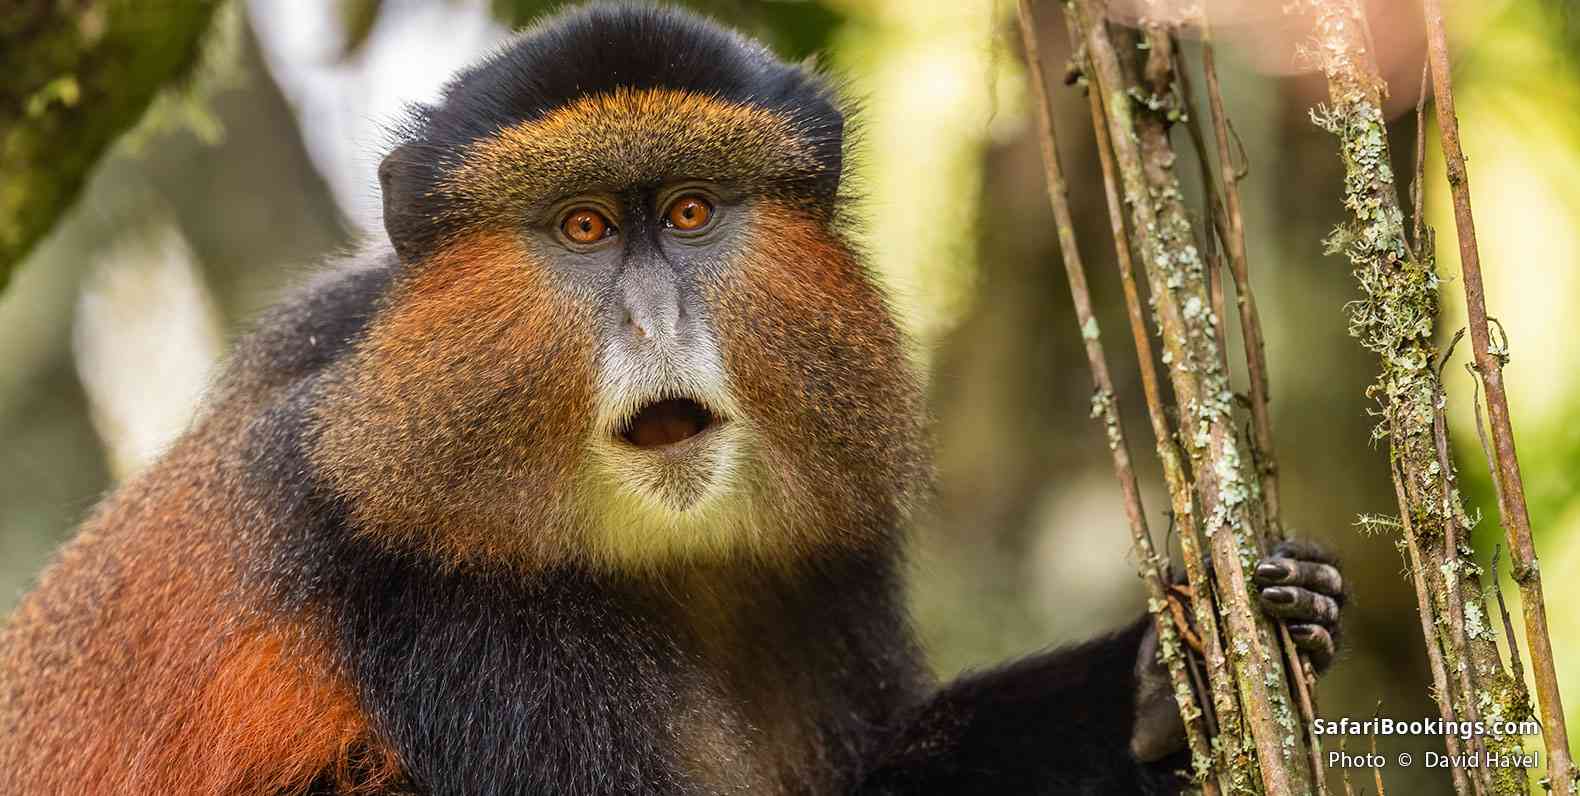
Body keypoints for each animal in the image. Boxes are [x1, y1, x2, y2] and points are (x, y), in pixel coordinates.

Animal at [0, 4, 1345, 795]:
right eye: (585, 227)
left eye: (690, 211)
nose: (653, 319)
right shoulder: (438, 607)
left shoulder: (825, 558)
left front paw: (1158, 684)